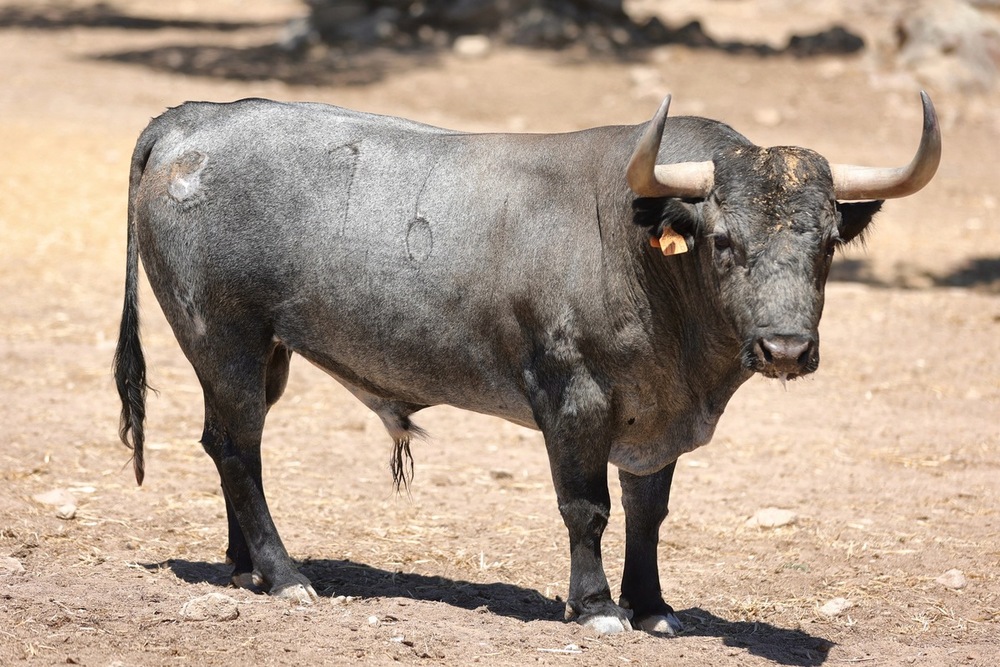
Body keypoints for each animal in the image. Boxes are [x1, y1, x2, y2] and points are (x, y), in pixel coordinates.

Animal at [113, 91, 940, 636]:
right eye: (723, 239)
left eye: (826, 241)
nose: (786, 348)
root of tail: (197, 116)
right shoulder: (573, 397)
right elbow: (587, 506)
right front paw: (599, 606)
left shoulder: (656, 412)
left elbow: (648, 510)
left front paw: (653, 606)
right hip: (223, 334)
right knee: (238, 446)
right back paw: (284, 574)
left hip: (263, 352)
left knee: (227, 445)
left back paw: (244, 564)